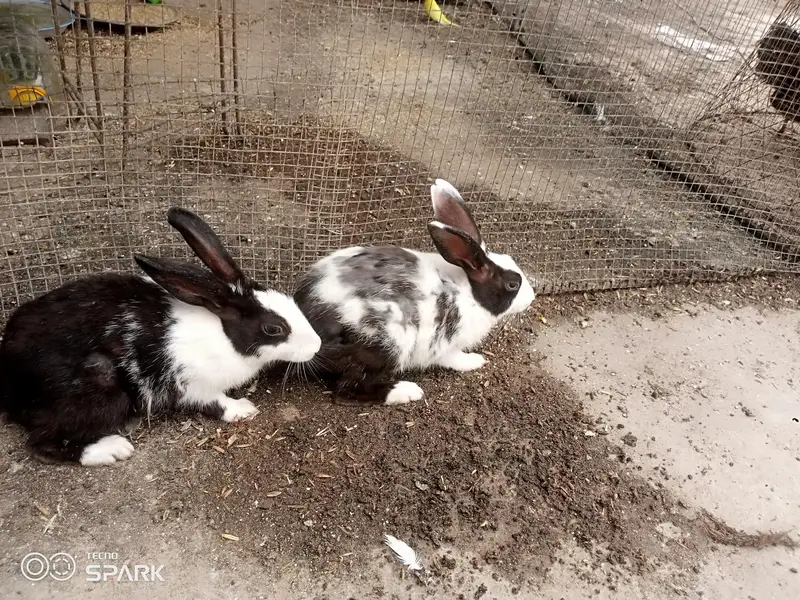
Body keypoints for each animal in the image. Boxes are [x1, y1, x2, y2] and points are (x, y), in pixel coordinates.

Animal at [0, 207, 322, 466]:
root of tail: (9, 381)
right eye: (273, 328)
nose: (317, 346)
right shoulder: (192, 385)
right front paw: (243, 409)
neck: (223, 334)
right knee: (41, 444)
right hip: (98, 382)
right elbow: (215, 403)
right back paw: (111, 449)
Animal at [293, 179, 535, 406]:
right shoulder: (446, 345)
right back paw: (407, 391)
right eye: (513, 285)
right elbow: (455, 359)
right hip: (388, 345)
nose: (531, 297)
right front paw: (475, 361)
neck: (469, 293)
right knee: (347, 389)